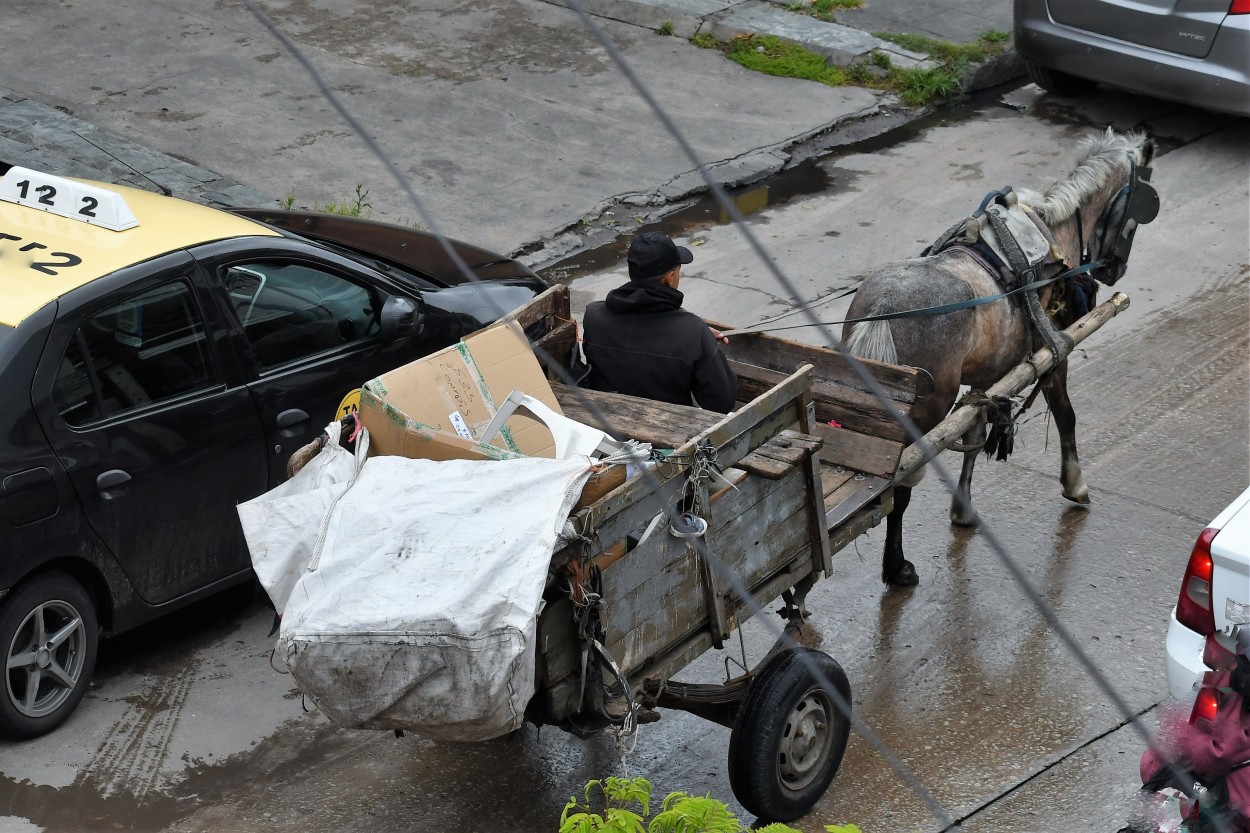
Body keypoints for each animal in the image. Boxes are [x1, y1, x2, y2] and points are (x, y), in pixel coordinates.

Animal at [840, 130, 1160, 582]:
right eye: (1143, 201)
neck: (1050, 231)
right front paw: (1075, 483)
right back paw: (897, 566)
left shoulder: (985, 376)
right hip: (924, 411)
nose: (1114, 269)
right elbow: (1065, 413)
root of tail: (884, 309)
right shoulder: (1051, 351)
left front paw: (963, 508)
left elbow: (974, 435)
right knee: (902, 482)